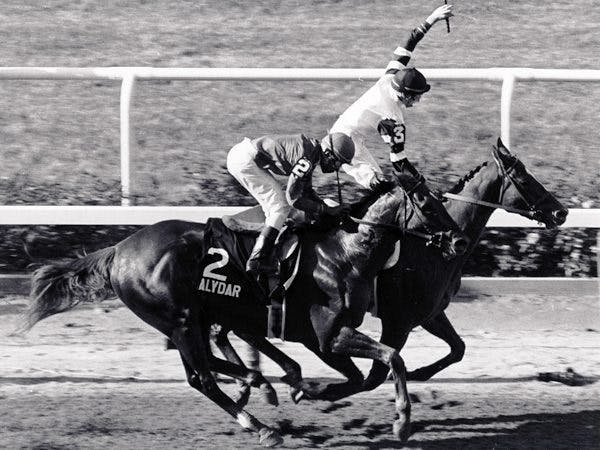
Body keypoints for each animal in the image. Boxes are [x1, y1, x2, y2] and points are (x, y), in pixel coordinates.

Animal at [21, 168, 468, 446]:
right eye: (429, 205)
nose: (460, 241)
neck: (345, 252)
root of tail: (118, 251)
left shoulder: (320, 337)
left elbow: (361, 375)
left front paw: (312, 390)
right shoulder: (327, 334)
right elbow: (392, 358)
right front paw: (402, 423)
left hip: (192, 318)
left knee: (206, 365)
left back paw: (260, 384)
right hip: (181, 318)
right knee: (201, 378)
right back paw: (261, 425)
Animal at [213, 137, 568, 414]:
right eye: (524, 179)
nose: (561, 212)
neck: (430, 248)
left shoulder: (430, 314)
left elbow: (458, 348)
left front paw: (421, 373)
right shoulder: (398, 320)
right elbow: (373, 375)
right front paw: (317, 392)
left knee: (226, 331)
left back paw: (246, 383)